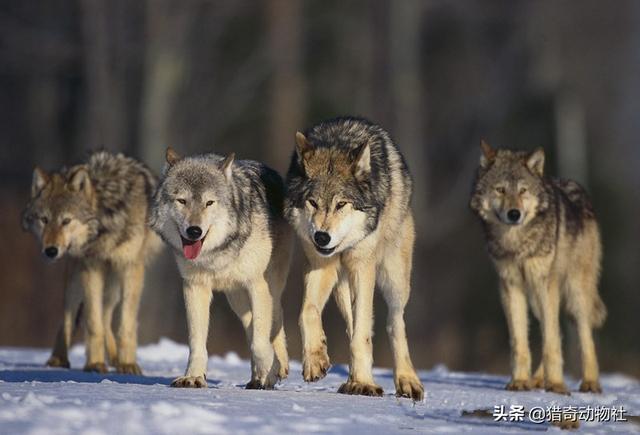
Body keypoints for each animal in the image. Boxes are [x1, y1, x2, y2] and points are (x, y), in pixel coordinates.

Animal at [21, 151, 160, 374]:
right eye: (44, 219)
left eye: (66, 221)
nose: (51, 251)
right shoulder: (90, 266)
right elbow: (93, 322)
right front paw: (95, 363)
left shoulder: (131, 267)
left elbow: (125, 324)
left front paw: (127, 364)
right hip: (77, 279)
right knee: (70, 318)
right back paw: (58, 359)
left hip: (113, 282)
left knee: (106, 316)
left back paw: (115, 358)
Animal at [150, 148, 292, 390]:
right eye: (182, 200)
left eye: (209, 203)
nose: (194, 231)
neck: (216, 253)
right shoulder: (194, 287)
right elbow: (196, 342)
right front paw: (193, 377)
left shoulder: (257, 285)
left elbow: (260, 341)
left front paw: (271, 370)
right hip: (236, 299)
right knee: (250, 326)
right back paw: (256, 378)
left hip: (269, 287)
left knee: (275, 320)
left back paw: (277, 368)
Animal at [284, 116, 424, 402]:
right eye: (312, 202)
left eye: (341, 204)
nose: (322, 237)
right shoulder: (321, 265)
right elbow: (307, 312)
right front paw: (315, 360)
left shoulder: (362, 266)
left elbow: (363, 334)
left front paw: (363, 383)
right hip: (341, 283)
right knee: (352, 324)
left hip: (394, 279)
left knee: (394, 323)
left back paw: (407, 381)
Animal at [470, 142, 604, 396]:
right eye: (500, 190)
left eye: (523, 190)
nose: (514, 214)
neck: (517, 243)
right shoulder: (510, 286)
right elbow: (520, 341)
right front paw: (520, 381)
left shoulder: (545, 284)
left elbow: (551, 342)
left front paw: (558, 385)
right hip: (535, 297)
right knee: (555, 331)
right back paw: (538, 380)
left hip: (574, 293)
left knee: (584, 336)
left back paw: (590, 383)